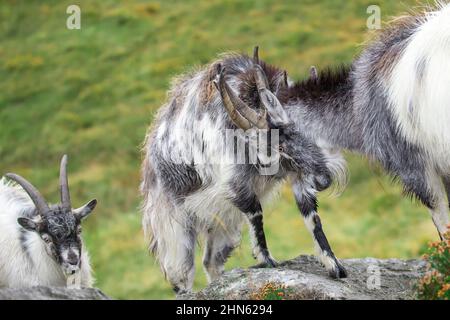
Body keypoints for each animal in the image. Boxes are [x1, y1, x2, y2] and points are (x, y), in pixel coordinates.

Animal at [142, 47, 346, 296]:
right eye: (280, 145)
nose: (323, 181)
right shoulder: (235, 185)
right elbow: (256, 213)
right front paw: (268, 260)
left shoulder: (299, 176)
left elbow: (312, 217)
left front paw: (335, 266)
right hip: (174, 231)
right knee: (181, 277)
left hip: (223, 227)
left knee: (211, 261)